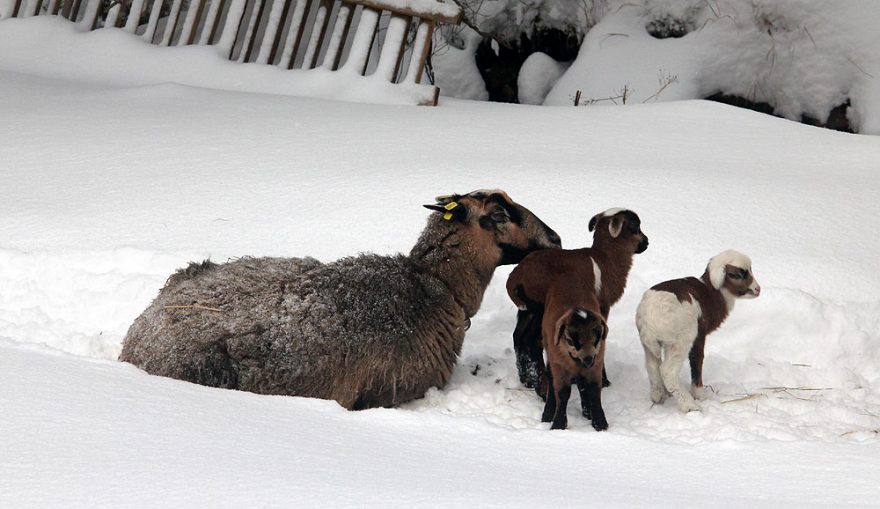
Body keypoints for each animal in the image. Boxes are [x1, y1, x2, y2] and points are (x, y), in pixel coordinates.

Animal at [506, 206, 648, 416]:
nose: (647, 243)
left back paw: (528, 381)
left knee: (520, 337)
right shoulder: (602, 306)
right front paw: (604, 381)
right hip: (539, 306)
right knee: (533, 341)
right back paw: (543, 389)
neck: (607, 259)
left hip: (528, 309)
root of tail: (516, 275)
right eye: (636, 227)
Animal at [636, 248, 760, 410]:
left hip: (651, 344)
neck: (714, 293)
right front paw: (700, 395)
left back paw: (658, 395)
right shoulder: (699, 336)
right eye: (737, 275)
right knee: (668, 371)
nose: (758, 289)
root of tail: (649, 317)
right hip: (682, 338)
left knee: (652, 365)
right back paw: (690, 406)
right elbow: (697, 360)